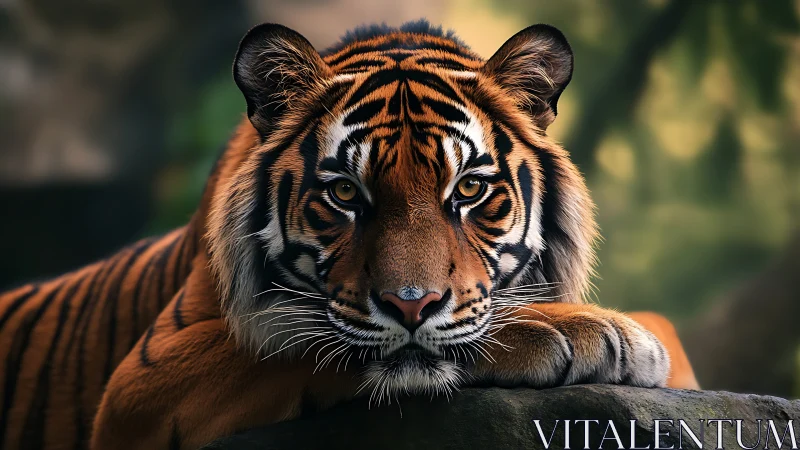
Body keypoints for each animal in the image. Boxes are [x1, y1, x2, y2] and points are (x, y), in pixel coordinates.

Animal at [0, 20, 699, 450]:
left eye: (469, 190)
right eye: (343, 194)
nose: (412, 306)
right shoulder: (138, 385)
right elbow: (297, 341)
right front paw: (575, 331)